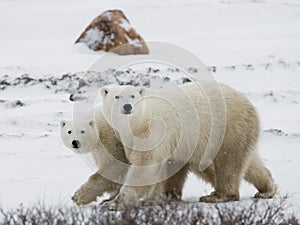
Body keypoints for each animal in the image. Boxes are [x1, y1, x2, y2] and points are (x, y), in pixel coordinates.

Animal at [100, 82, 276, 209]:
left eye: (133, 95)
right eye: (116, 96)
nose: (127, 107)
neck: (138, 122)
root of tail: (247, 103)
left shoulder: (153, 131)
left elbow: (145, 165)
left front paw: (114, 203)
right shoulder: (131, 138)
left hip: (227, 127)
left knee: (228, 162)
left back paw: (218, 196)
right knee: (249, 162)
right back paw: (266, 189)